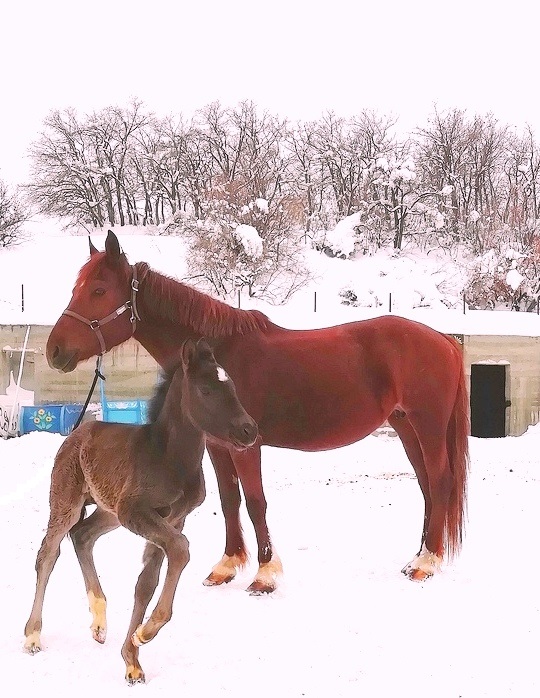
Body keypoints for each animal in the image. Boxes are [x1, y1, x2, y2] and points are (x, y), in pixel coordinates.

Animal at [24, 338, 258, 684]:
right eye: (206, 390)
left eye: (232, 387)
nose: (248, 431)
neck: (169, 457)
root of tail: (78, 432)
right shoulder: (136, 512)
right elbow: (181, 549)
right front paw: (145, 634)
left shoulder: (174, 517)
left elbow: (147, 581)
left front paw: (133, 656)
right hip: (70, 501)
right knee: (48, 554)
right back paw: (32, 635)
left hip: (109, 512)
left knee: (82, 535)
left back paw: (99, 622)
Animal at [46, 230, 470, 593]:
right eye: (76, 288)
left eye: (99, 290)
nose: (54, 350)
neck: (220, 355)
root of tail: (445, 340)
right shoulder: (217, 446)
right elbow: (229, 501)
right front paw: (226, 566)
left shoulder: (246, 444)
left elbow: (255, 502)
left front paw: (265, 575)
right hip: (405, 427)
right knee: (426, 485)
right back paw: (417, 557)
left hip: (427, 426)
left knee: (440, 480)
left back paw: (426, 563)